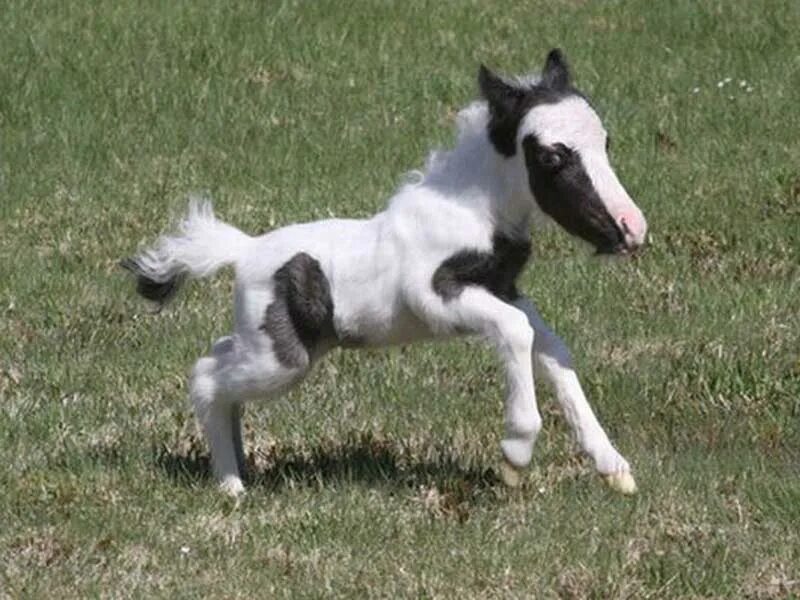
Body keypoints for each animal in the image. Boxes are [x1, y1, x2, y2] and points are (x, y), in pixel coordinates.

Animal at [126, 49, 648, 496]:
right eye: (551, 157)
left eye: (605, 142)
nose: (632, 229)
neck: (472, 211)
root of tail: (245, 249)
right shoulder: (435, 295)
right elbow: (518, 332)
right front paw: (515, 456)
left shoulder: (506, 290)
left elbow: (551, 348)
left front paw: (614, 468)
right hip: (282, 360)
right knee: (206, 377)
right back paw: (231, 486)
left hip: (277, 345)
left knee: (218, 358)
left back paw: (238, 469)